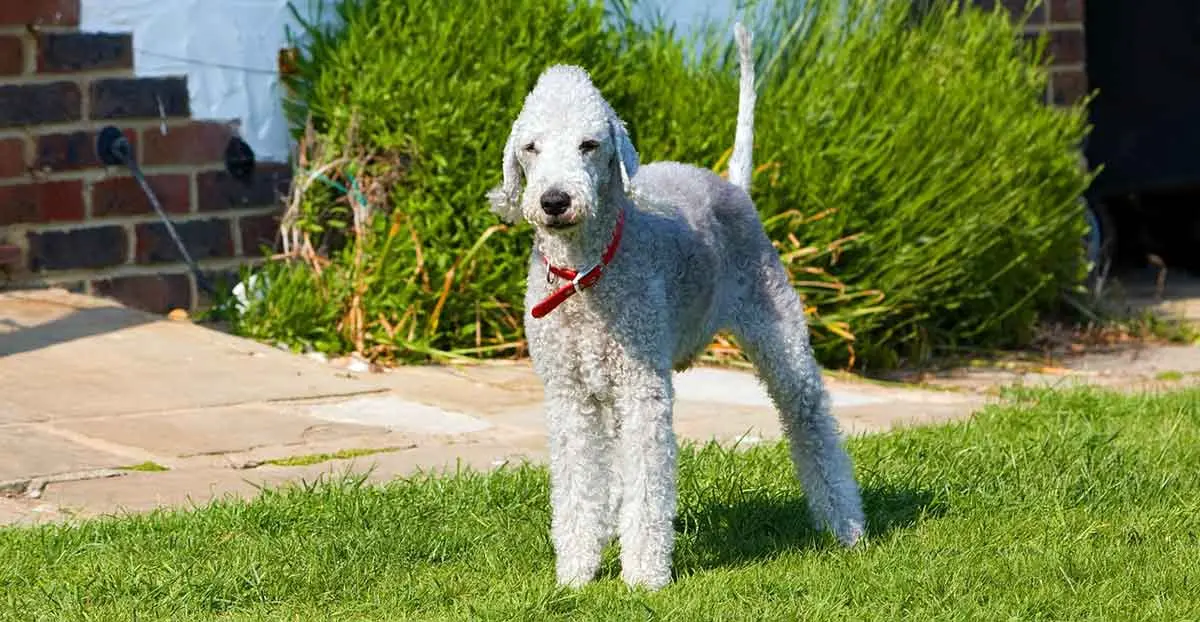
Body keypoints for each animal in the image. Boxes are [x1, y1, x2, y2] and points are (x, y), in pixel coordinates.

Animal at [487, 25, 864, 590]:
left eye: (589, 145)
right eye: (530, 148)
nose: (555, 201)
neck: (586, 273)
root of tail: (731, 184)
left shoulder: (643, 386)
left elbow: (648, 484)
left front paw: (644, 576)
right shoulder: (570, 393)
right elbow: (578, 484)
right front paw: (575, 573)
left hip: (778, 330)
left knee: (811, 419)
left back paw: (846, 525)